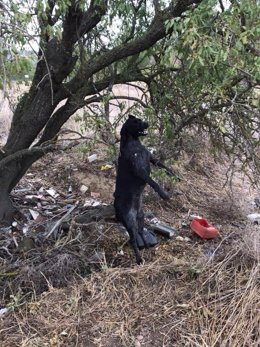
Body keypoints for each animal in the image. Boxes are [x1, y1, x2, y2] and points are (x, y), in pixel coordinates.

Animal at [114, 114, 174, 264]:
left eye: (140, 119)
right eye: (136, 122)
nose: (147, 123)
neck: (134, 143)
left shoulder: (151, 158)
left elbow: (163, 165)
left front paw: (174, 174)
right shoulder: (139, 170)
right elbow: (153, 182)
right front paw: (163, 194)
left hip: (140, 217)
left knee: (140, 232)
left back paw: (146, 246)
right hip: (129, 221)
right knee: (133, 240)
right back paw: (139, 258)